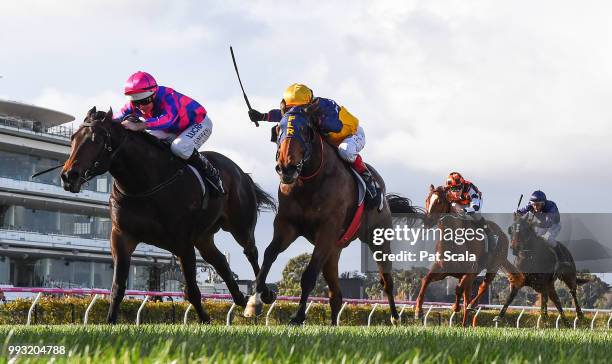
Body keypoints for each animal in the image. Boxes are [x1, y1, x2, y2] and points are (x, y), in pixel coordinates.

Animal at [61, 106, 276, 322]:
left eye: (95, 140)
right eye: (73, 138)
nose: (68, 176)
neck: (144, 184)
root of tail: (241, 172)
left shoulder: (183, 242)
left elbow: (192, 291)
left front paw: (205, 320)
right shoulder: (122, 236)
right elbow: (117, 288)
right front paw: (111, 322)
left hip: (240, 225)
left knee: (251, 252)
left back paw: (261, 296)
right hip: (203, 237)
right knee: (220, 260)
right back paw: (240, 297)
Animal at [241, 108, 418, 324]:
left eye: (305, 130)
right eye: (278, 129)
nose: (286, 167)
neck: (309, 182)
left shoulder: (327, 230)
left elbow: (308, 274)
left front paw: (298, 317)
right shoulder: (287, 226)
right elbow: (269, 255)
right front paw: (255, 302)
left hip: (378, 237)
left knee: (387, 281)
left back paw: (394, 317)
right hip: (334, 250)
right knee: (336, 294)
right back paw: (334, 324)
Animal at [418, 185, 512, 328]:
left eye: (439, 201)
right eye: (427, 200)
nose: (426, 222)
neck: (453, 242)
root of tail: (502, 233)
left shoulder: (469, 271)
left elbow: (458, 289)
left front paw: (455, 307)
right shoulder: (442, 270)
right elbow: (425, 280)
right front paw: (418, 311)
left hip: (493, 266)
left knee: (482, 287)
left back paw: (472, 306)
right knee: (467, 297)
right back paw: (464, 324)